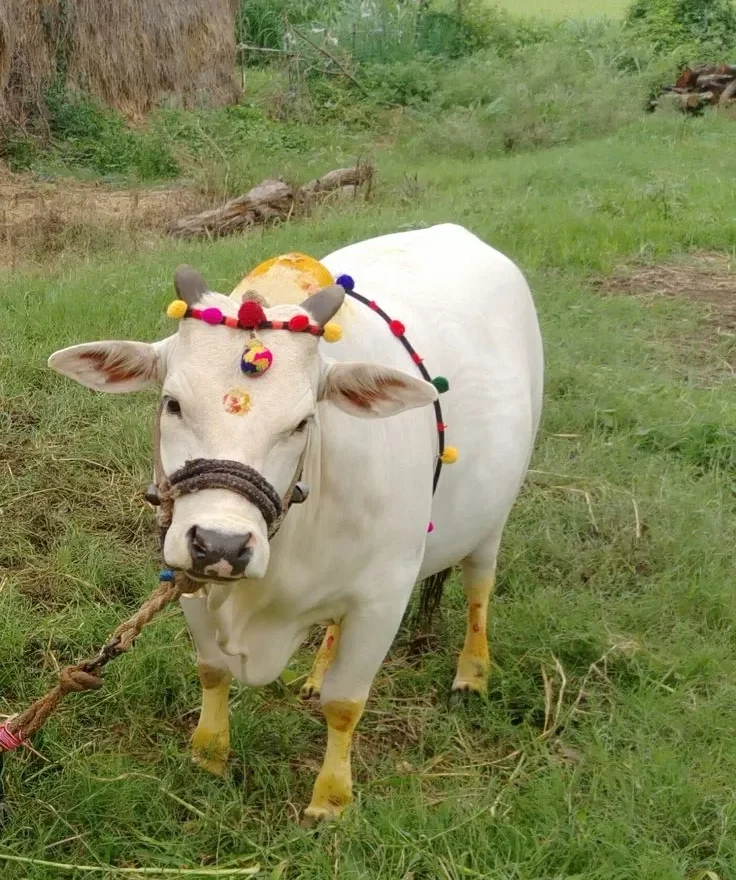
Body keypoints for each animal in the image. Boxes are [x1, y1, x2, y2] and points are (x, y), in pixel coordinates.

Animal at [48, 223, 543, 823]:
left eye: (304, 422)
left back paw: (472, 674)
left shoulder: (383, 598)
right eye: (172, 403)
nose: (222, 545)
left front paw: (330, 800)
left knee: (478, 589)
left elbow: (345, 704)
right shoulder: (188, 577)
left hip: (492, 520)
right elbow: (212, 670)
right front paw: (208, 756)